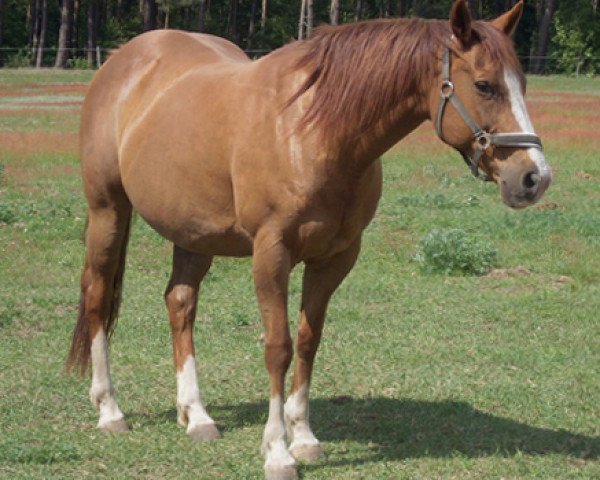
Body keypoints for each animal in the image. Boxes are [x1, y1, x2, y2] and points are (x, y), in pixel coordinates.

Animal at [68, 0, 552, 480]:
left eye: (523, 83)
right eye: (485, 86)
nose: (535, 178)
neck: (313, 131)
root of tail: (123, 61)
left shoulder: (335, 259)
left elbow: (307, 341)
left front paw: (303, 438)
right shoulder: (272, 253)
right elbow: (278, 348)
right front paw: (277, 452)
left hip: (193, 233)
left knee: (180, 304)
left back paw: (196, 415)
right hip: (108, 210)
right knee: (97, 295)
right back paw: (110, 410)